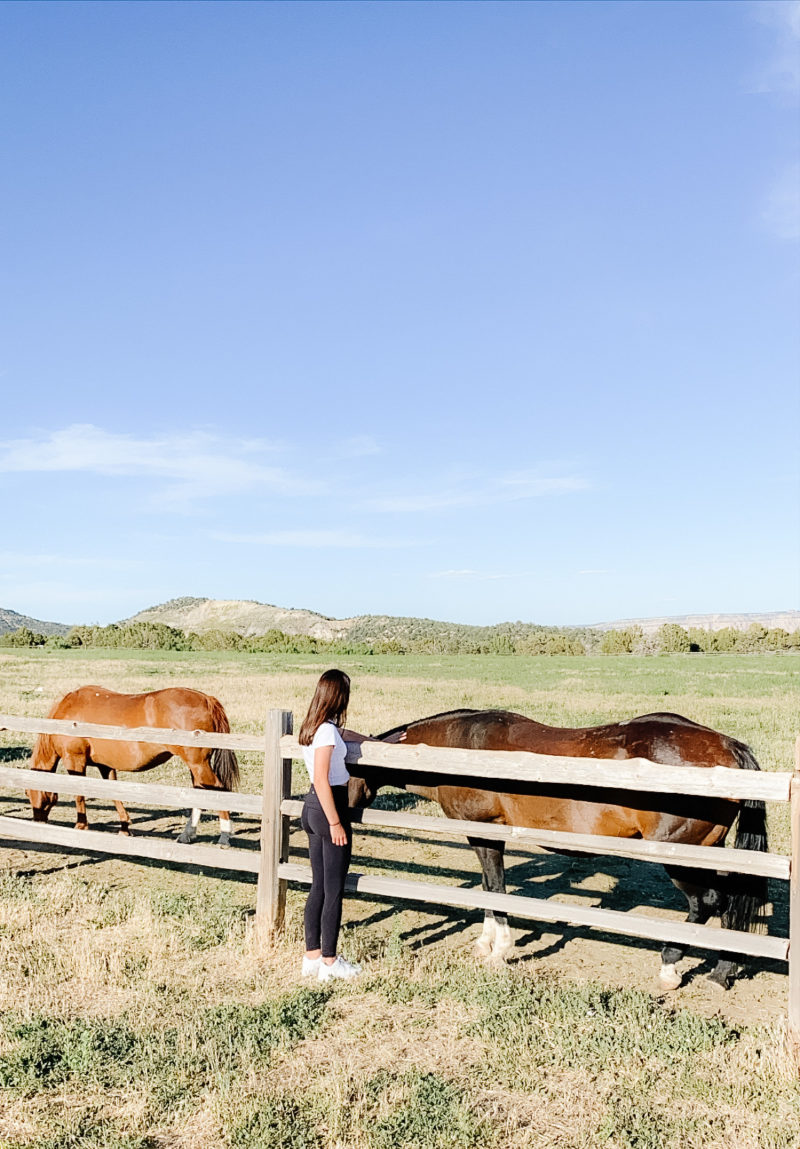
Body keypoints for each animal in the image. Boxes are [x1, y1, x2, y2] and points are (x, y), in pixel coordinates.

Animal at [28, 684, 240, 850]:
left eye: (32, 794)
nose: (37, 823)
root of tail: (206, 699)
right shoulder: (105, 765)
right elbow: (114, 794)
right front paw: (124, 827)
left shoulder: (75, 760)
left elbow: (79, 794)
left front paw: (81, 826)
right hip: (196, 766)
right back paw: (187, 834)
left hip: (198, 764)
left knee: (218, 790)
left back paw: (224, 837)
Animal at [349, 703, 767, 992]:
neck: (461, 747)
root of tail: (728, 747)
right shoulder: (484, 837)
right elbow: (487, 889)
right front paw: (485, 943)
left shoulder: (486, 833)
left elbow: (496, 890)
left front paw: (500, 950)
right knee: (727, 903)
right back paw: (722, 970)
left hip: (680, 856)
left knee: (706, 904)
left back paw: (670, 967)